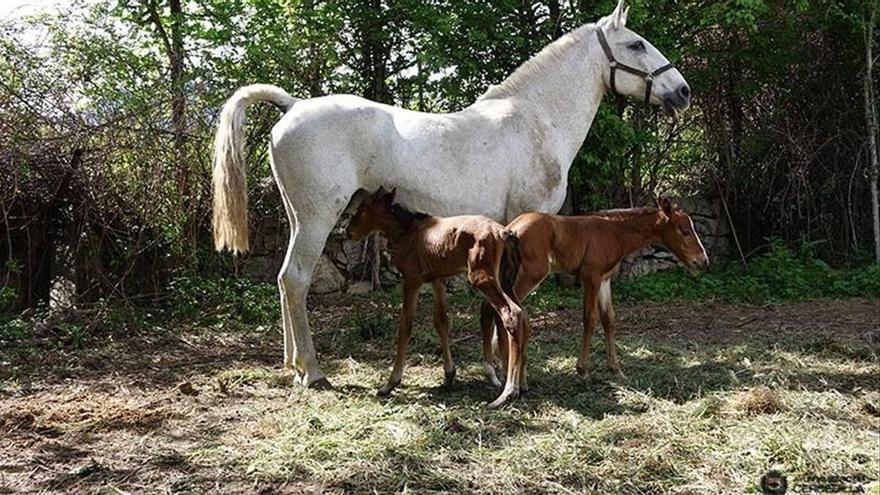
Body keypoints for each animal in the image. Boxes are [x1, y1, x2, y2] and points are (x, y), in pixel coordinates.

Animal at [348, 188, 528, 408]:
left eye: (362, 209)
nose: (348, 231)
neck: (409, 232)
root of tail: (504, 232)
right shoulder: (437, 279)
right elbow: (441, 320)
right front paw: (449, 375)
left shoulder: (411, 280)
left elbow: (405, 325)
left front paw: (390, 382)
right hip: (506, 281)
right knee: (523, 315)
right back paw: (520, 385)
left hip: (482, 277)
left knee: (511, 314)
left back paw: (508, 391)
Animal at [484, 198, 712, 380]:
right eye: (685, 231)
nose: (703, 261)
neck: (614, 232)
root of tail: (507, 230)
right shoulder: (590, 277)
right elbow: (590, 319)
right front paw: (583, 369)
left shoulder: (604, 279)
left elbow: (608, 319)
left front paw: (616, 369)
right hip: (529, 275)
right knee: (505, 310)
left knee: (492, 307)